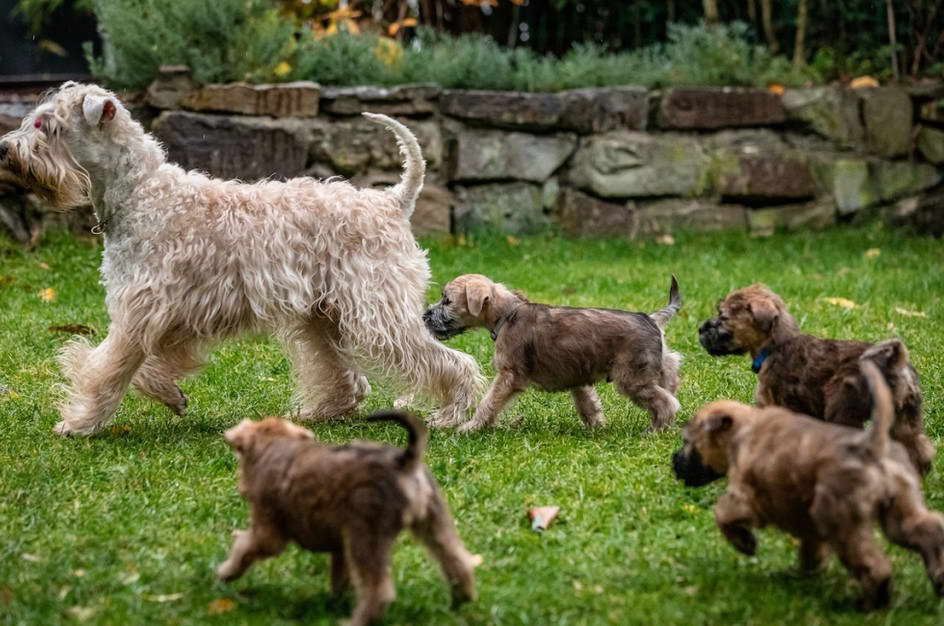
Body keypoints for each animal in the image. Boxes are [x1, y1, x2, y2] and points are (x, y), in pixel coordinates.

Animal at [217, 410, 476, 624]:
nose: (242, 489)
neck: (278, 447)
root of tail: (405, 463)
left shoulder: (269, 531)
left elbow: (244, 547)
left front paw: (225, 572)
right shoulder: (341, 547)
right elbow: (340, 576)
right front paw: (335, 601)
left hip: (366, 535)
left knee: (379, 590)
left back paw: (357, 620)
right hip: (433, 521)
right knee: (458, 561)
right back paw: (460, 599)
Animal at [424, 272, 684, 428]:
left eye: (447, 301)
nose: (425, 315)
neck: (507, 314)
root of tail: (651, 319)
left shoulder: (508, 376)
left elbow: (488, 403)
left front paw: (471, 427)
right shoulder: (578, 377)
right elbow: (587, 403)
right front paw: (596, 426)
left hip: (632, 378)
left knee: (666, 402)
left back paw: (657, 428)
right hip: (655, 366)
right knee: (670, 376)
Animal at [672, 358, 944, 608]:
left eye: (688, 442)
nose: (674, 463)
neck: (744, 430)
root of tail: (871, 448)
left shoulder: (748, 498)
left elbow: (723, 513)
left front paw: (744, 543)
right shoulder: (806, 520)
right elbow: (811, 548)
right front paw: (804, 574)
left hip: (839, 518)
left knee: (870, 562)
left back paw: (871, 602)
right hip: (898, 510)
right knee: (926, 529)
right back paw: (938, 577)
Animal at [696, 282, 932, 472]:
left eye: (723, 317)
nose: (700, 329)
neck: (776, 345)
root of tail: (894, 363)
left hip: (842, 407)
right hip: (905, 418)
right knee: (917, 448)